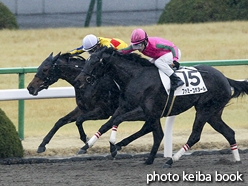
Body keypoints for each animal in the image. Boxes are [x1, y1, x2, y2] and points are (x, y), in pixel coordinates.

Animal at [74, 47, 248, 166]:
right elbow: (108, 123)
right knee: (229, 132)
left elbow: (118, 120)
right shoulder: (126, 107)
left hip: (204, 110)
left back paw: (171, 160)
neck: (135, 77)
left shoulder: (146, 112)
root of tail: (225, 78)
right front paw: (86, 146)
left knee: (195, 135)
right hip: (213, 113)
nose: (79, 80)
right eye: (86, 61)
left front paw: (113, 146)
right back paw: (237, 159)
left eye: (94, 62)